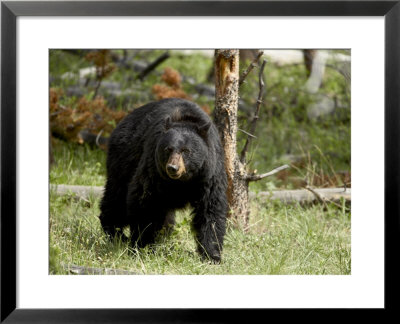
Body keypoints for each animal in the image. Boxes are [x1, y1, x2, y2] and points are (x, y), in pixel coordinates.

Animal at [98, 97, 227, 262]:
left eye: (186, 151)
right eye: (168, 149)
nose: (173, 168)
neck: (183, 181)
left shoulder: (209, 174)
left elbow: (210, 209)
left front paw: (211, 255)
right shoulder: (153, 168)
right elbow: (144, 200)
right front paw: (142, 245)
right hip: (123, 159)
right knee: (117, 197)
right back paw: (115, 233)